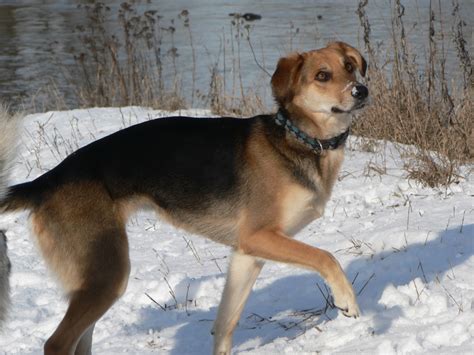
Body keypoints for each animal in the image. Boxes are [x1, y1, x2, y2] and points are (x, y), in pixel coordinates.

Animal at [0, 42, 368, 355]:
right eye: (322, 75)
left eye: (350, 67)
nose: (361, 90)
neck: (300, 139)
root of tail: (48, 180)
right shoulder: (260, 236)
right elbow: (326, 257)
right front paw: (346, 299)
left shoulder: (246, 254)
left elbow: (225, 325)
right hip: (107, 273)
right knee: (57, 343)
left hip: (96, 278)